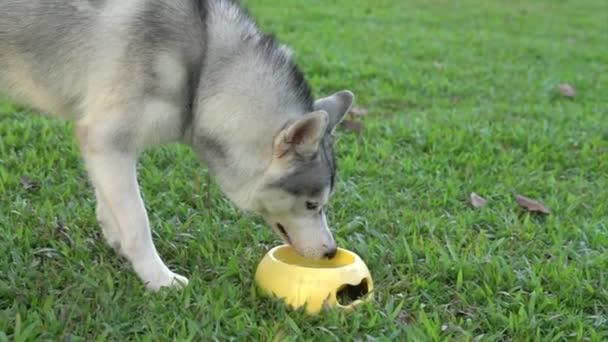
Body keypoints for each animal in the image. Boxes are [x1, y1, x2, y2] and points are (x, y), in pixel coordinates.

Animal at [0, 0, 354, 290]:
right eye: (312, 204)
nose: (330, 251)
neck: (203, 70)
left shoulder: (100, 142)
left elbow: (108, 200)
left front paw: (115, 238)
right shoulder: (107, 139)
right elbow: (137, 222)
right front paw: (158, 279)